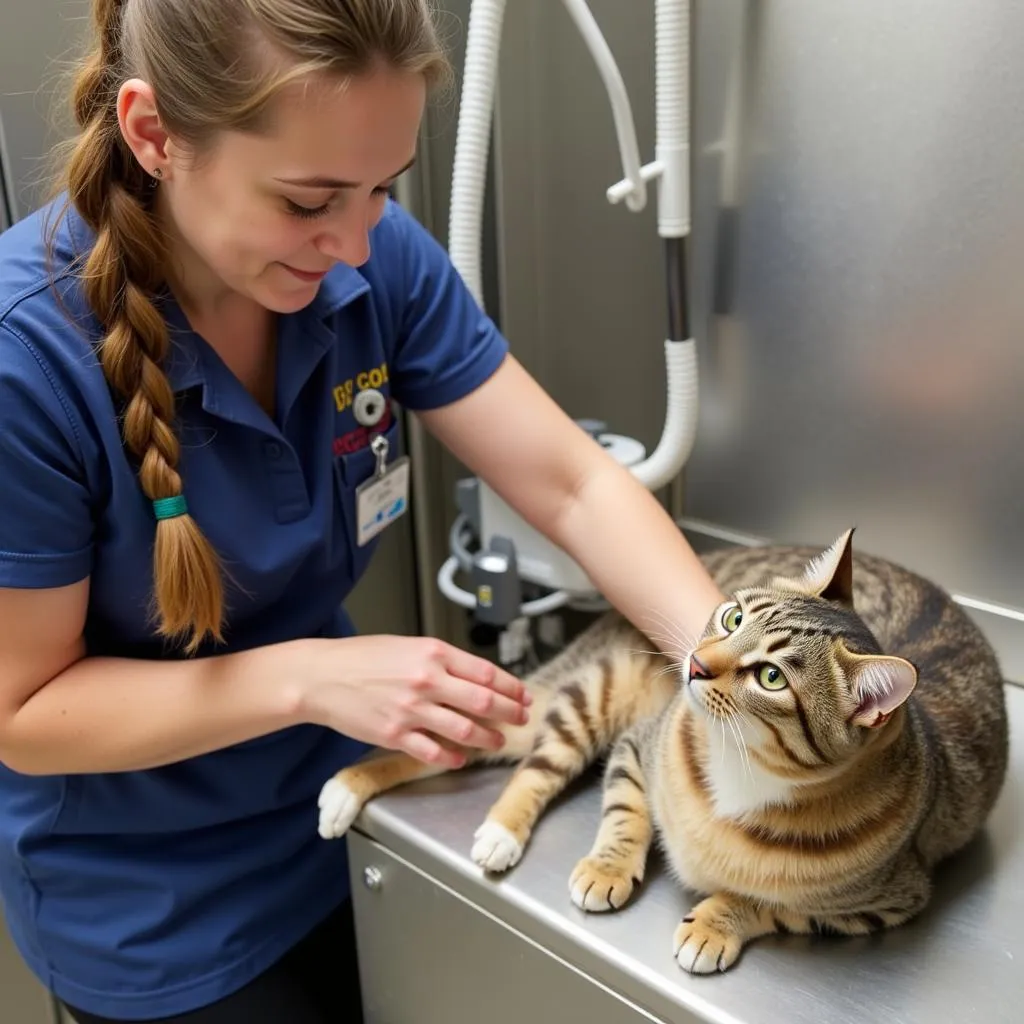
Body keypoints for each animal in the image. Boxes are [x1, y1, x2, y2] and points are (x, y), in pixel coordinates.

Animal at [317, 532, 1007, 970]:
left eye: (771, 678)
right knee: (519, 758)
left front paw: (714, 924)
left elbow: (775, 907)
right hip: (593, 695)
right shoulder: (636, 747)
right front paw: (608, 868)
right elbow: (626, 814)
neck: (743, 771)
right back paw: (446, 814)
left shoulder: (883, 903)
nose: (696, 664)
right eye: (733, 618)